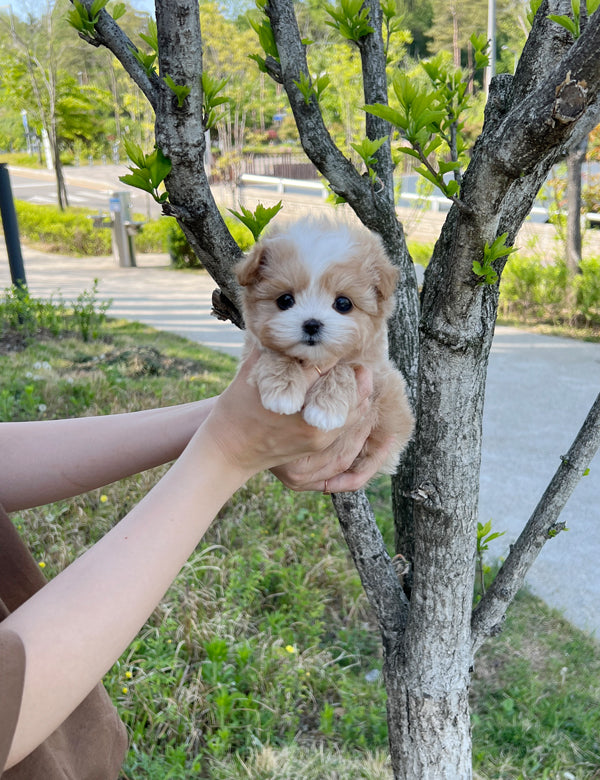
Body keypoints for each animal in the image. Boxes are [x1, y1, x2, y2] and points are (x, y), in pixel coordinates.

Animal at [236, 218, 418, 476]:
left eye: (343, 303)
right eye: (285, 300)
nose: (312, 324)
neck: (314, 359)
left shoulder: (372, 369)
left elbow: (344, 368)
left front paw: (325, 410)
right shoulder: (252, 351)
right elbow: (278, 354)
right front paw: (283, 390)